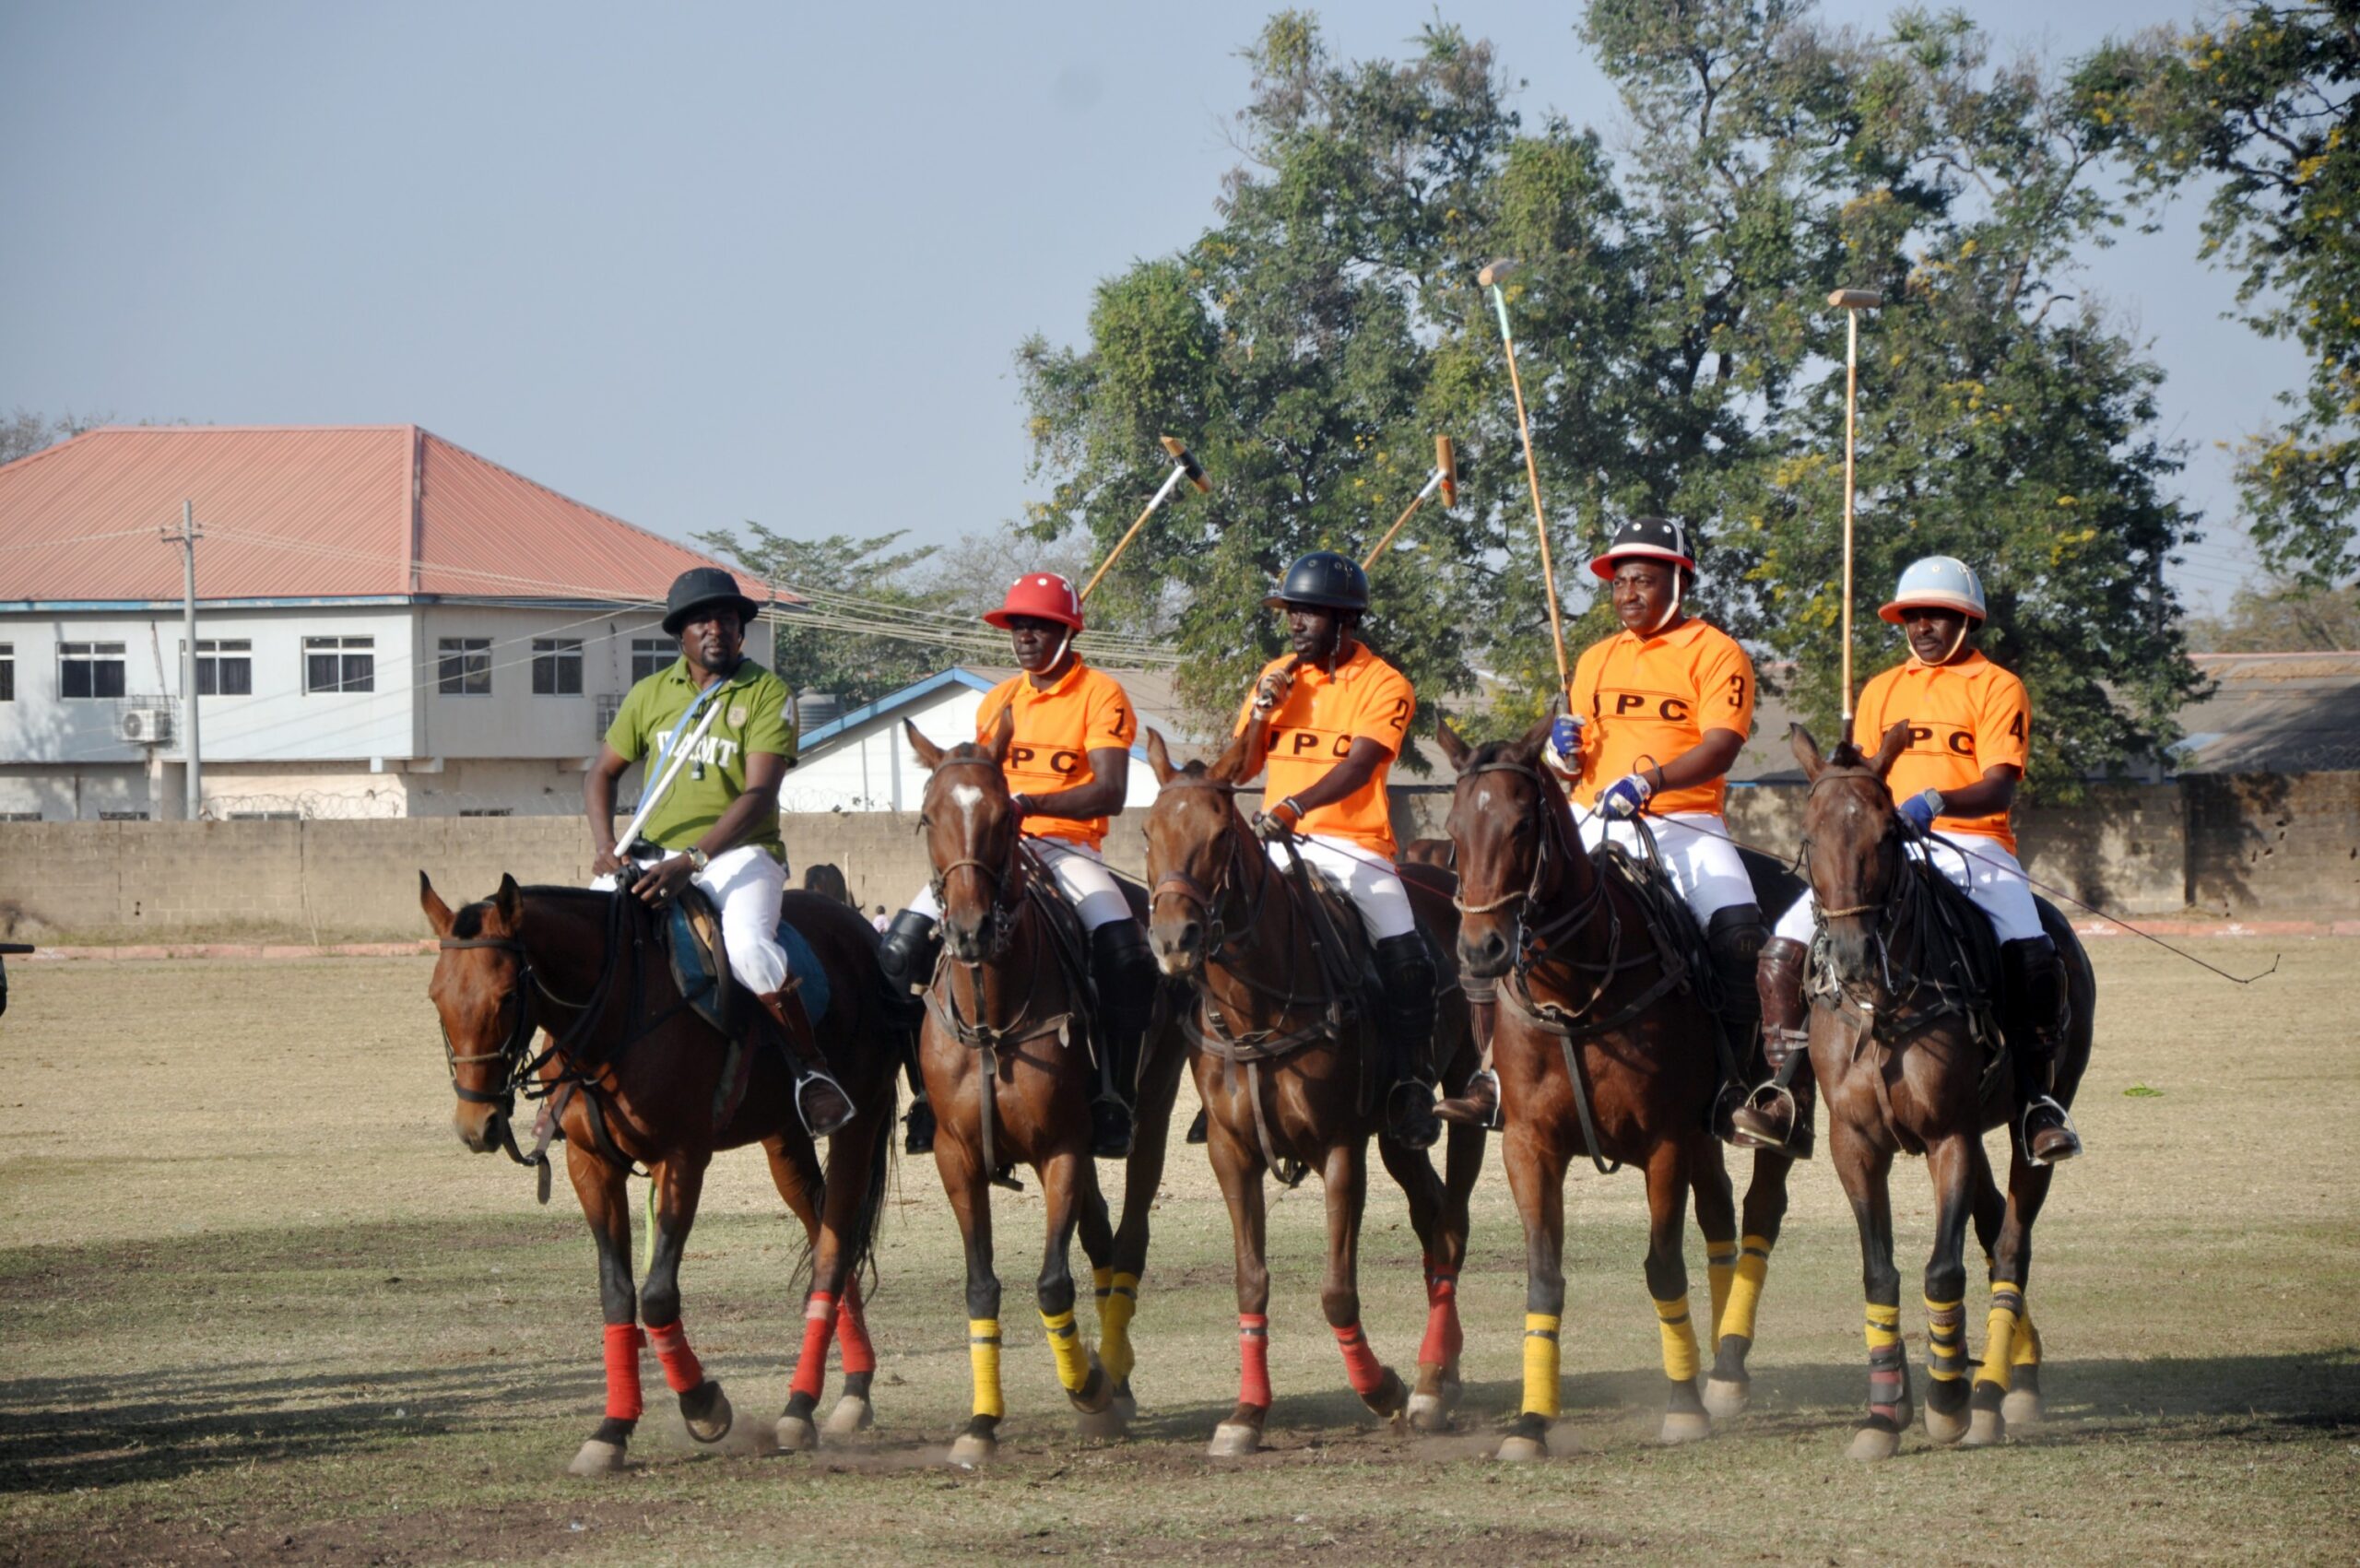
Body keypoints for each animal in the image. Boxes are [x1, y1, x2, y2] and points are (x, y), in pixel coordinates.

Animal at [419, 873, 896, 1473]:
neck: (615, 1013)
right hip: (784, 1137)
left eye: (507, 996)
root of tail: (859, 929)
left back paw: (801, 1405)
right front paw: (612, 1429)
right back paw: (848, 1392)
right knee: (825, 1232)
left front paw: (703, 1405)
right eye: (436, 997)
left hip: (860, 1118)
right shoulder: (590, 1165)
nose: (475, 1126)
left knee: (834, 1252)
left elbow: (657, 1294)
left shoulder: (682, 1158)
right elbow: (617, 1292)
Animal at [901, 717, 1198, 1464]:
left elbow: (1051, 1281)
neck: (990, 1013)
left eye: (1005, 817)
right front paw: (981, 1421)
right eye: (928, 817)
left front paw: (1087, 1388)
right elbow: (982, 1285)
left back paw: (1113, 1374)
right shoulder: (956, 1157)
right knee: (1099, 1236)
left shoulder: (1061, 1148)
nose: (969, 930)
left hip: (1150, 1108)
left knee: (1127, 1237)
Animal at [1137, 727, 1481, 1455]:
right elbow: (1250, 1282)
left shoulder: (1340, 1148)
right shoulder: (1231, 1153)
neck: (1255, 1007)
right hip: (1397, 1134)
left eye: (1220, 834)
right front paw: (1246, 1413)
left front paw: (1381, 1389)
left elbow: (1336, 1291)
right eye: (1149, 831)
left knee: (1454, 1222)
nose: (1175, 940)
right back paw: (1444, 1371)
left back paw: (1428, 1385)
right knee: (1432, 1215)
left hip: (1463, 1089)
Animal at [1434, 717, 1802, 1455]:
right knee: (1719, 1212)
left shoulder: (1664, 1142)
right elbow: (1543, 1278)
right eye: (1455, 828)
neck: (1576, 992)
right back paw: (1721, 1362)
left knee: (1758, 1212)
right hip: (1703, 1131)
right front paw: (1532, 1422)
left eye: (1522, 825)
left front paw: (1683, 1405)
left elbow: (1663, 1266)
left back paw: (1725, 1366)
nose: (1483, 950)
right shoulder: (1528, 1146)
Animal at [1784, 727, 2105, 1464]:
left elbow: (1942, 1269)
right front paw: (1884, 1412)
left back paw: (1992, 1392)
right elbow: (1880, 1271)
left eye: (1887, 834)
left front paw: (1948, 1400)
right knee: (1992, 1226)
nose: (1850, 955)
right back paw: (2016, 1371)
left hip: (2032, 1116)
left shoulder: (1947, 1137)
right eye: (1810, 835)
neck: (1883, 1000)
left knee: (2011, 1243)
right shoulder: (1854, 1143)